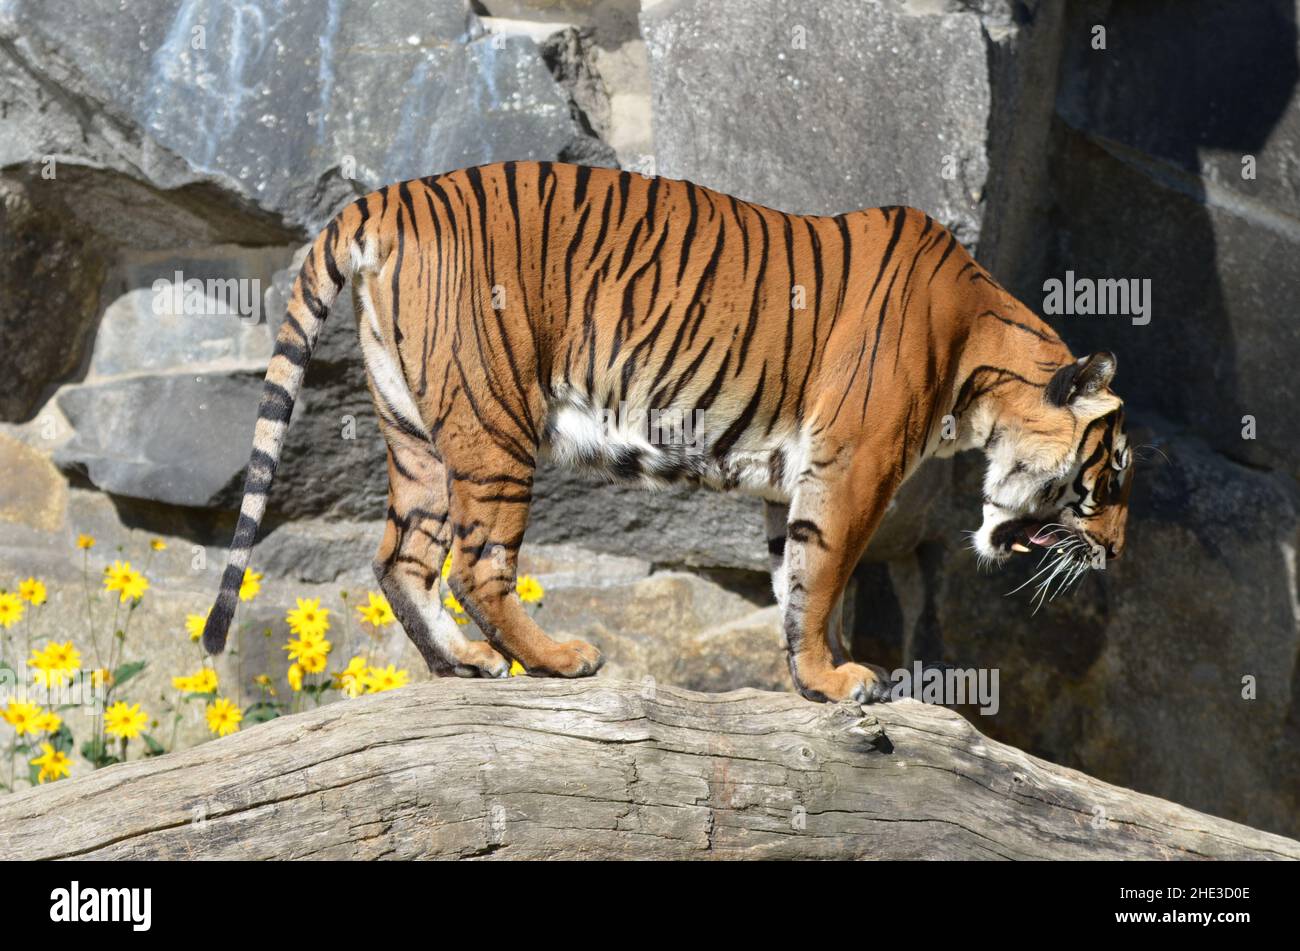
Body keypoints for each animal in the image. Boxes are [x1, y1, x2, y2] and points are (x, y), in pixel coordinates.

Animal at [202, 161, 1134, 704]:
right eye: (1110, 478)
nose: (1118, 554)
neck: (981, 361)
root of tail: (388, 195)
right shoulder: (855, 467)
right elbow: (827, 573)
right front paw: (838, 679)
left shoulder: (800, 477)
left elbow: (799, 580)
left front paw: (815, 673)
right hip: (495, 421)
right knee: (477, 562)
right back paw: (557, 659)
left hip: (415, 431)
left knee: (400, 556)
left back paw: (462, 663)